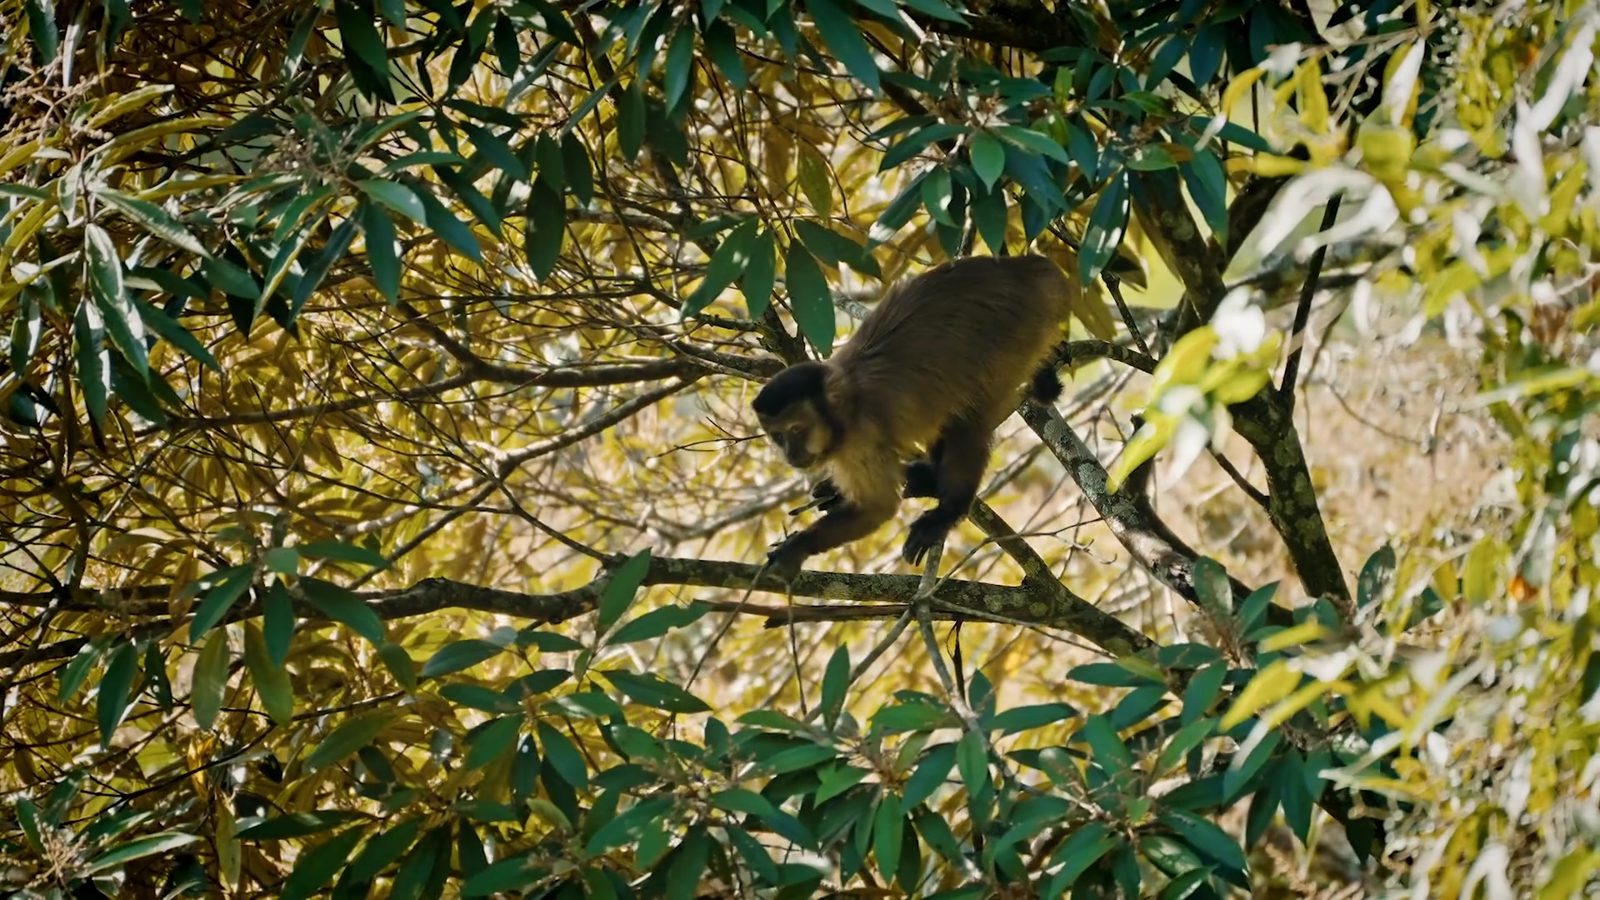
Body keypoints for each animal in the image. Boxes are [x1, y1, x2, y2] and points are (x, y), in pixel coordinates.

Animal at [752, 254, 1073, 581]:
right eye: (778, 436)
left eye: (797, 430)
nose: (791, 454)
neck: (847, 402)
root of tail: (1023, 268)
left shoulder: (861, 437)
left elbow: (877, 509)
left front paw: (796, 548)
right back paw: (926, 479)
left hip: (1016, 337)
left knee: (968, 422)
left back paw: (947, 510)